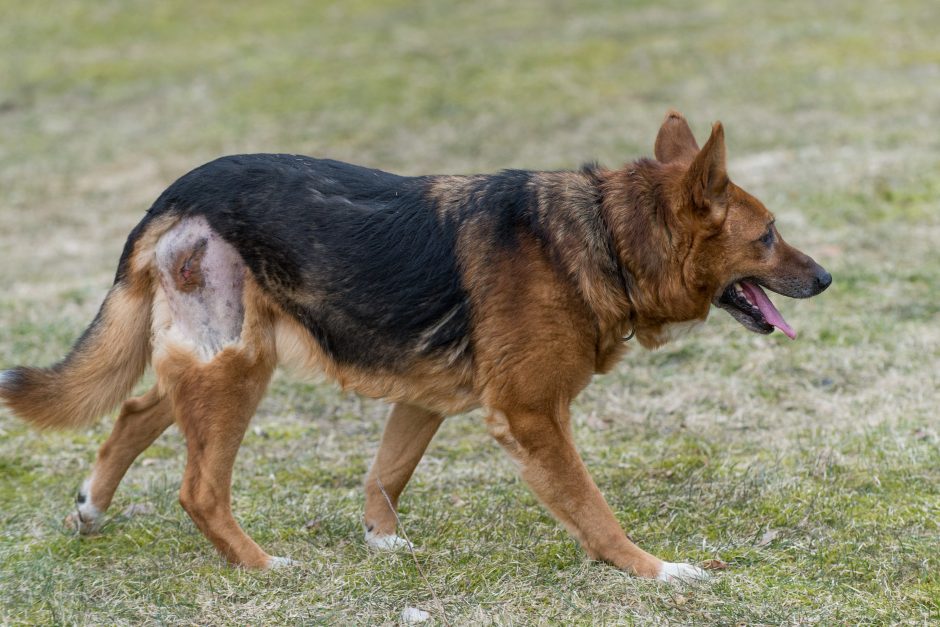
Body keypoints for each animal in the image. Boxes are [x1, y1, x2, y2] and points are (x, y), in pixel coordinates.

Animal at [0, 113, 828, 584]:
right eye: (768, 234)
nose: (827, 276)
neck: (607, 236)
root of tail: (178, 195)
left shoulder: (422, 399)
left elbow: (385, 476)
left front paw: (384, 543)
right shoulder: (533, 418)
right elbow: (595, 512)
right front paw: (655, 570)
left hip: (221, 360)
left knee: (138, 408)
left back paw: (91, 508)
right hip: (236, 367)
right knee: (199, 488)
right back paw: (261, 565)